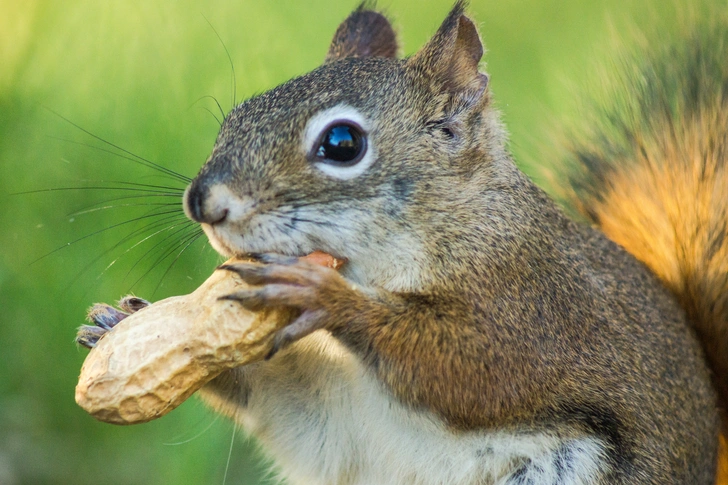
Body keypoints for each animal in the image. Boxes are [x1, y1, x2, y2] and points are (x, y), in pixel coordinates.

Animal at [79, 1, 728, 482]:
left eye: (342, 143)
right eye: (235, 116)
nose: (202, 202)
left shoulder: (536, 310)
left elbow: (471, 367)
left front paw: (326, 297)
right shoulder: (330, 419)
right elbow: (281, 403)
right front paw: (121, 324)